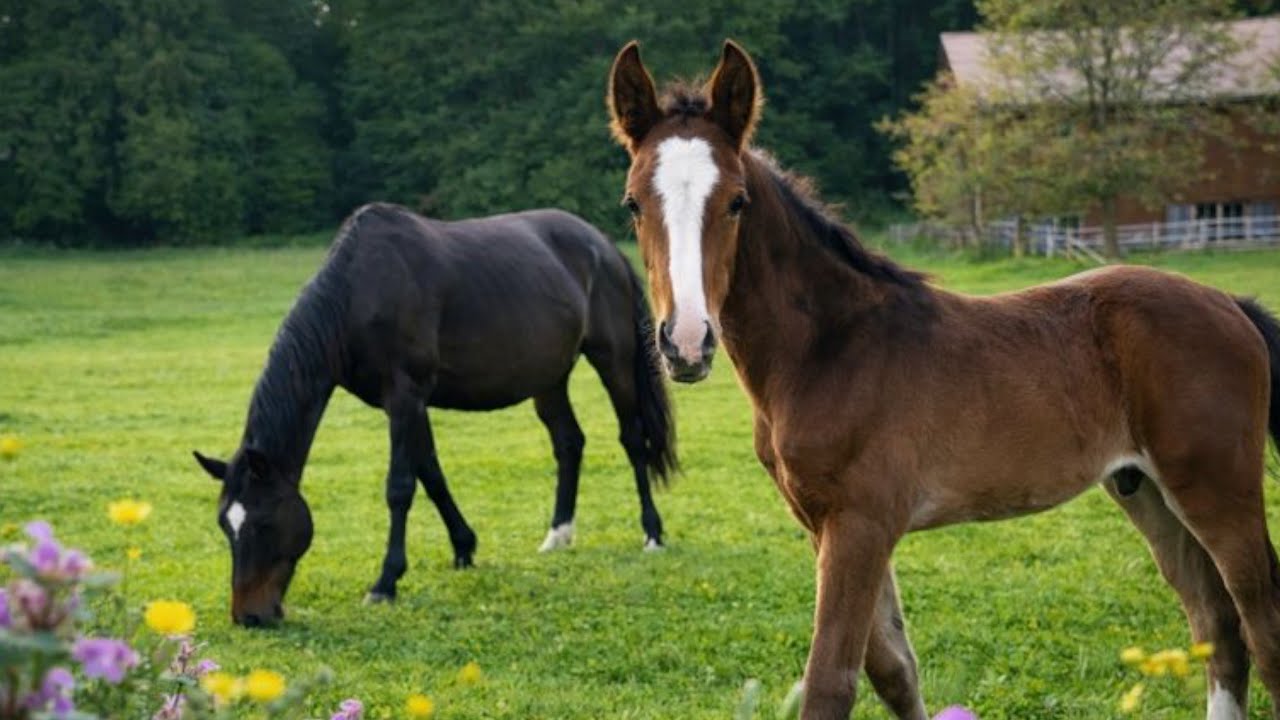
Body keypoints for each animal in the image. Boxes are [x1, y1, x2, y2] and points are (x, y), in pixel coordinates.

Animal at [192, 203, 676, 626]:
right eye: (225, 525)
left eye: (263, 523)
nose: (249, 616)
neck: (358, 293)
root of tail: (604, 246)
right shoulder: (407, 403)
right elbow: (431, 473)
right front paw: (464, 548)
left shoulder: (405, 396)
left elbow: (400, 487)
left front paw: (385, 582)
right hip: (549, 377)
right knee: (568, 442)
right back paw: (557, 535)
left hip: (612, 359)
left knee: (632, 439)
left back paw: (652, 534)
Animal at [608, 40, 1280, 719]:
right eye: (633, 204)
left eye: (737, 201)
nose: (685, 342)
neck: (829, 349)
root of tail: (1228, 302)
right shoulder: (825, 526)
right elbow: (894, 670)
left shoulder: (861, 523)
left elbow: (831, 681)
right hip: (1145, 491)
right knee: (1218, 625)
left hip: (1219, 490)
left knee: (1261, 626)